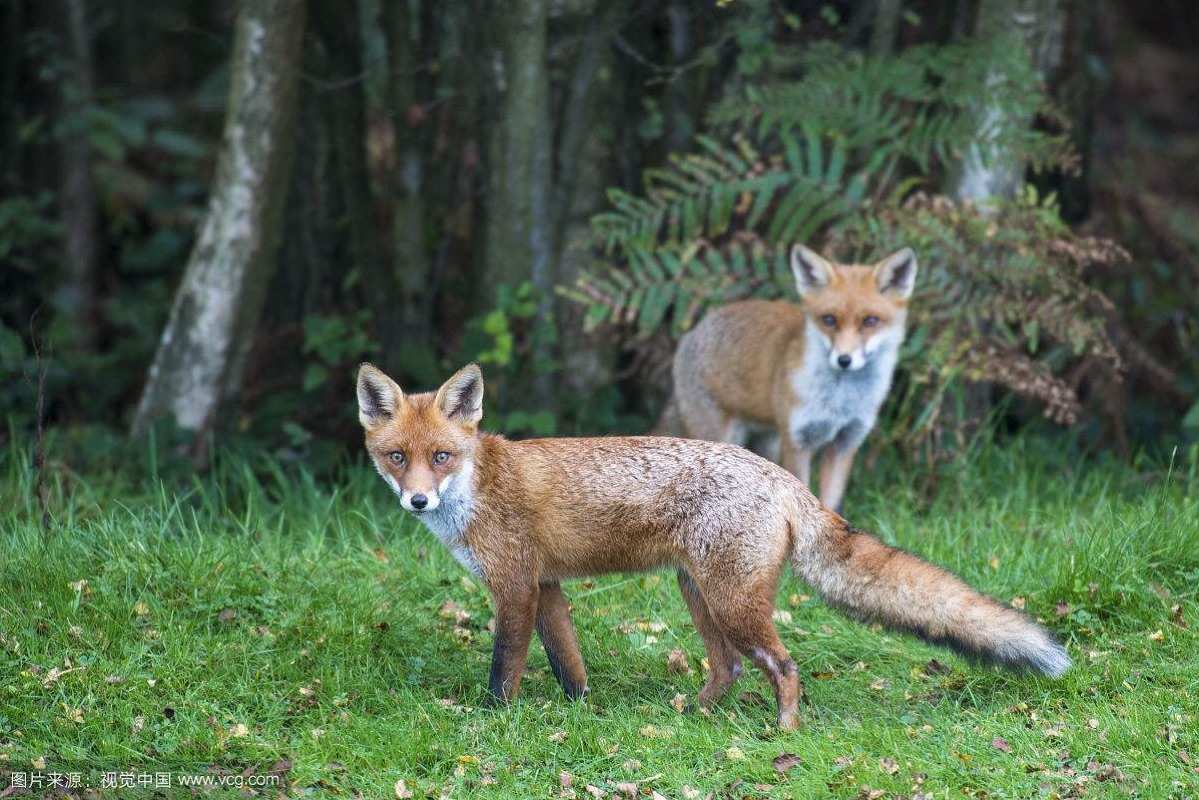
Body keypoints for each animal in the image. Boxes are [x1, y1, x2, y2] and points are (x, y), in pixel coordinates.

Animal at [352, 362, 1069, 734]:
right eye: (397, 458)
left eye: (442, 457)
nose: (418, 502)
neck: (478, 486)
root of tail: (782, 476)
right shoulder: (546, 586)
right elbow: (568, 665)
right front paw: (580, 714)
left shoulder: (514, 588)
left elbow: (505, 668)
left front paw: (492, 723)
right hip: (698, 593)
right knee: (727, 670)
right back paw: (690, 716)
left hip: (731, 602)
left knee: (783, 667)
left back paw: (783, 734)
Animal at [661, 241, 911, 513]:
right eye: (829, 319)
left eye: (870, 321)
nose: (844, 360)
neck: (838, 402)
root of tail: (692, 333)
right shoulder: (797, 441)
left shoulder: (845, 443)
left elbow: (831, 503)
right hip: (721, 437)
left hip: (767, 443)